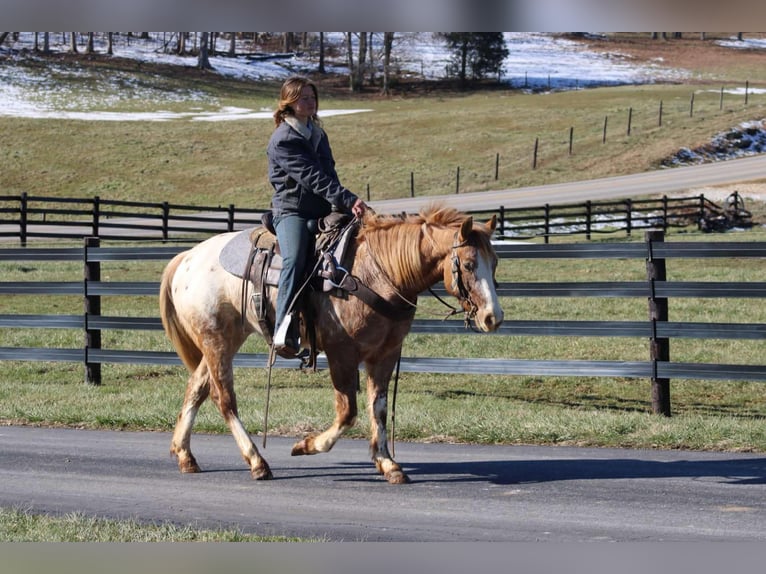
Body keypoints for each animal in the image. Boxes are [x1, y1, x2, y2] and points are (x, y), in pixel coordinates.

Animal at [159, 205, 504, 484]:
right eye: (469, 265)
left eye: (495, 263)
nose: (493, 317)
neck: (376, 272)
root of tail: (187, 258)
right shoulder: (342, 353)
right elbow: (348, 412)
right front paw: (306, 444)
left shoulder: (385, 354)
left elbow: (377, 408)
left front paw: (388, 463)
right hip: (215, 340)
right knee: (224, 399)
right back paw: (257, 461)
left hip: (224, 340)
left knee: (197, 388)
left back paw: (185, 455)